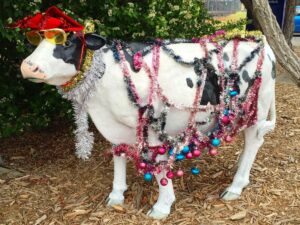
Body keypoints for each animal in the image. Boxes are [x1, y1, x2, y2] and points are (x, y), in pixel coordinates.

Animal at [19, 29, 276, 218]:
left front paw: (162, 207)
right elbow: (118, 154)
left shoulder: (154, 127)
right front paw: (116, 194)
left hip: (259, 106)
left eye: (67, 42)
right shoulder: (116, 126)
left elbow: (160, 165)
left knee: (254, 140)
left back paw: (236, 186)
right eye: (37, 41)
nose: (28, 66)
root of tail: (261, 41)